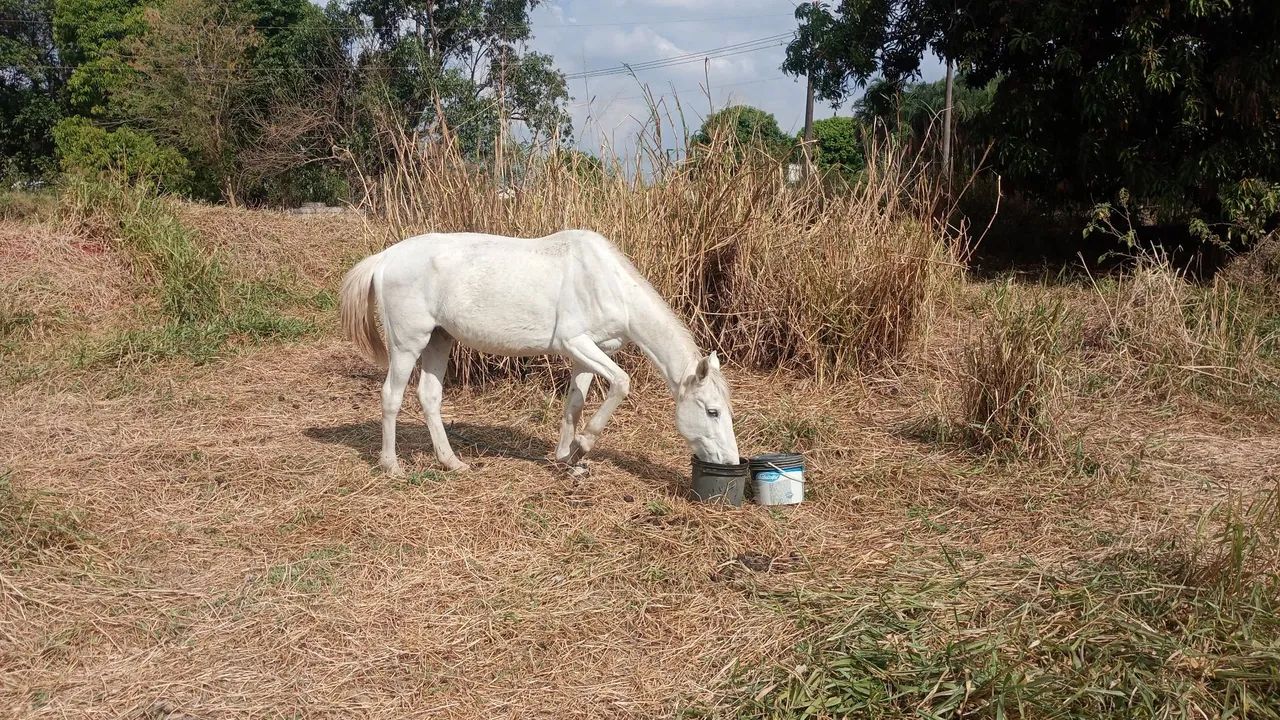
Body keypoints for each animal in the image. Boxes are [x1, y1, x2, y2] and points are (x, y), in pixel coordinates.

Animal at [339, 229, 740, 476]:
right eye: (712, 411)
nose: (731, 461)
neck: (606, 281)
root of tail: (385, 258)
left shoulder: (585, 353)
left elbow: (574, 404)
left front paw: (568, 457)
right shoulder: (575, 342)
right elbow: (622, 383)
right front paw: (583, 445)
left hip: (439, 339)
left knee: (429, 397)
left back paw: (452, 462)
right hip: (408, 343)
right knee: (391, 396)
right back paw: (391, 465)